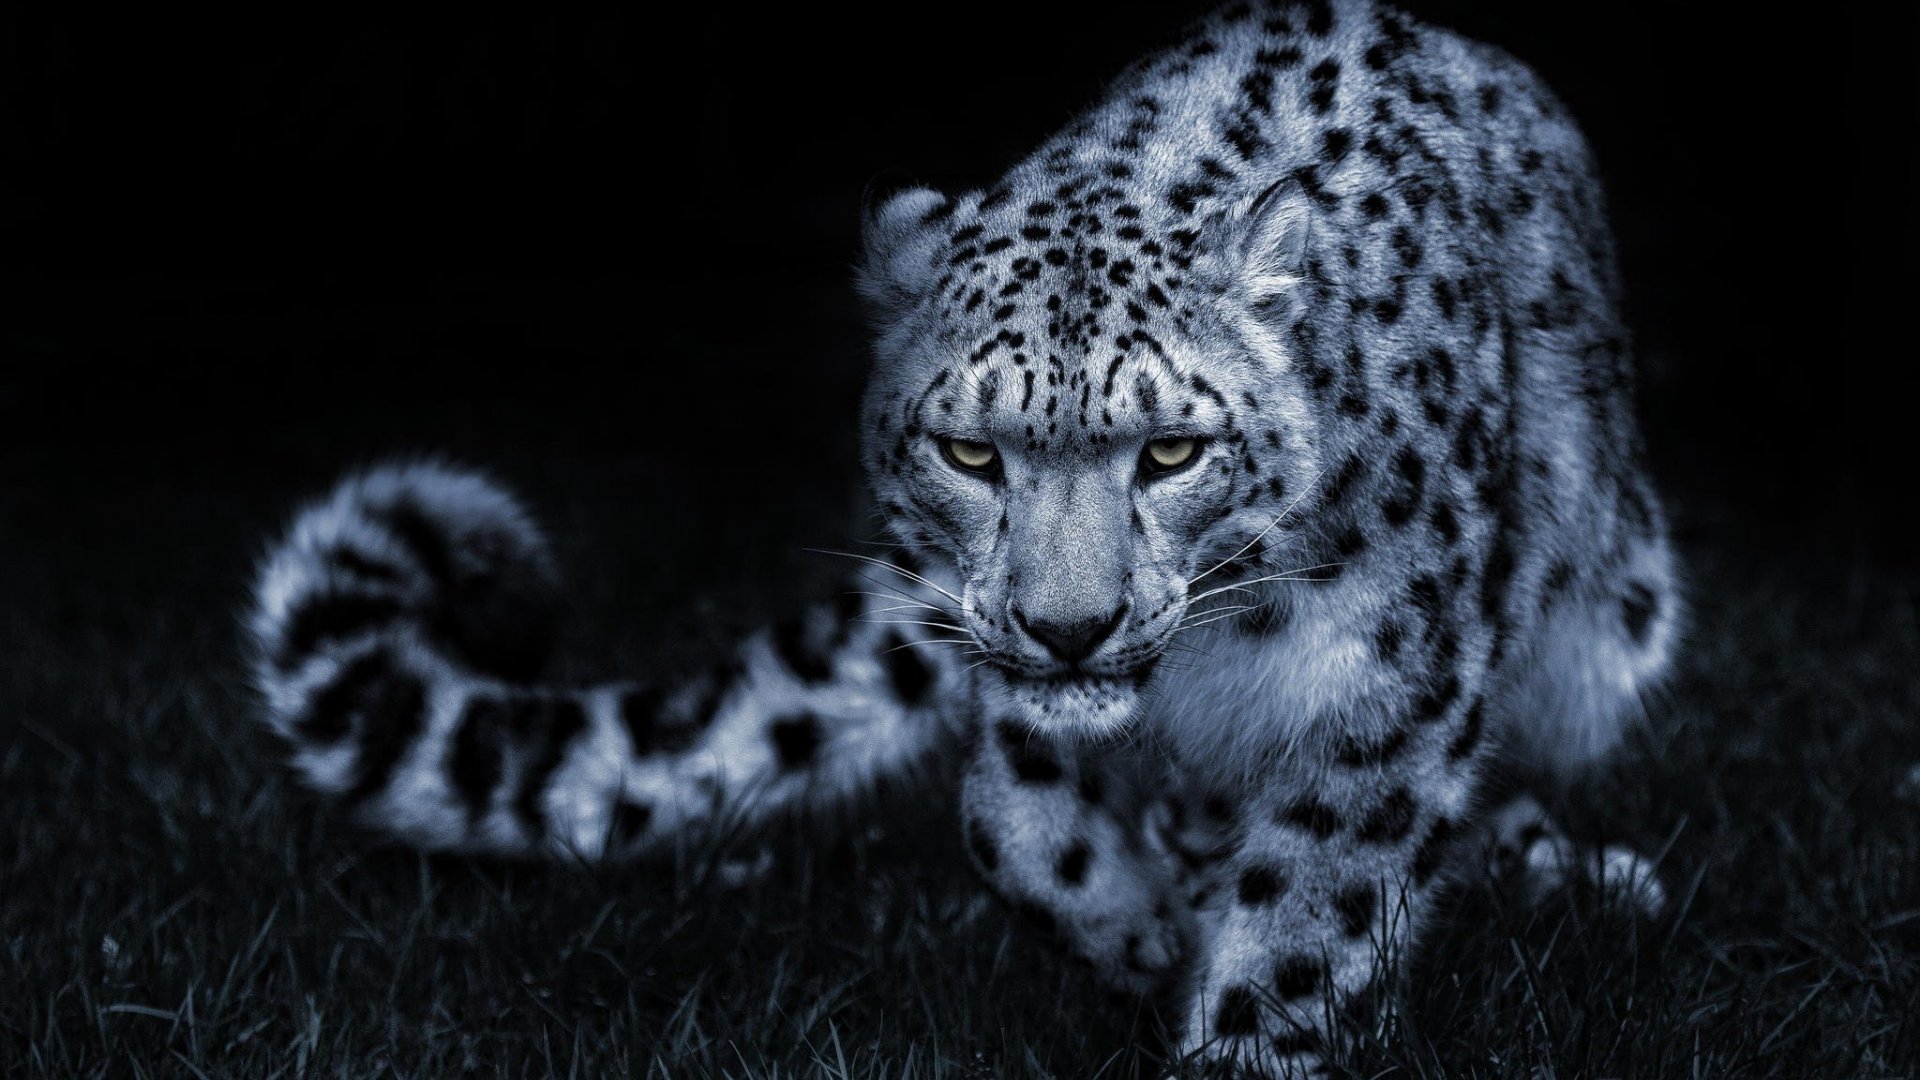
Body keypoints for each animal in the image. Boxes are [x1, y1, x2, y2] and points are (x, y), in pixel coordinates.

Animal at [244, 0, 1680, 1074]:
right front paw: (1135, 933)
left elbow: (1311, 916)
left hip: (1610, 625)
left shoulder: (1388, 687)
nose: (1071, 628)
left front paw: (1238, 1029)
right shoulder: (1008, 674)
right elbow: (1012, 820)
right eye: (971, 453)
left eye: (1173, 451)